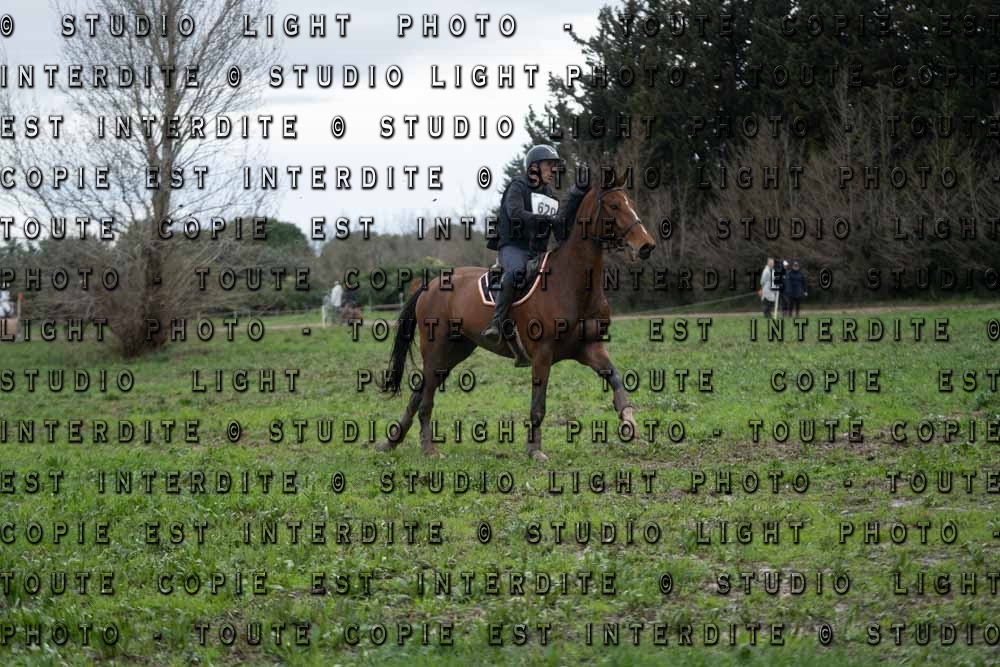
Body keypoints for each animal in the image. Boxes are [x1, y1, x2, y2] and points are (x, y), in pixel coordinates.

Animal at [376, 174, 657, 461]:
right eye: (614, 206)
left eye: (630, 203)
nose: (646, 245)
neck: (572, 283)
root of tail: (430, 284)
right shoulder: (542, 354)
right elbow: (538, 404)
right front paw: (535, 450)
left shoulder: (590, 347)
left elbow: (616, 378)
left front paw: (630, 422)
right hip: (435, 349)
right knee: (426, 395)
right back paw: (428, 448)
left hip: (455, 351)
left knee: (420, 391)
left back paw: (392, 441)